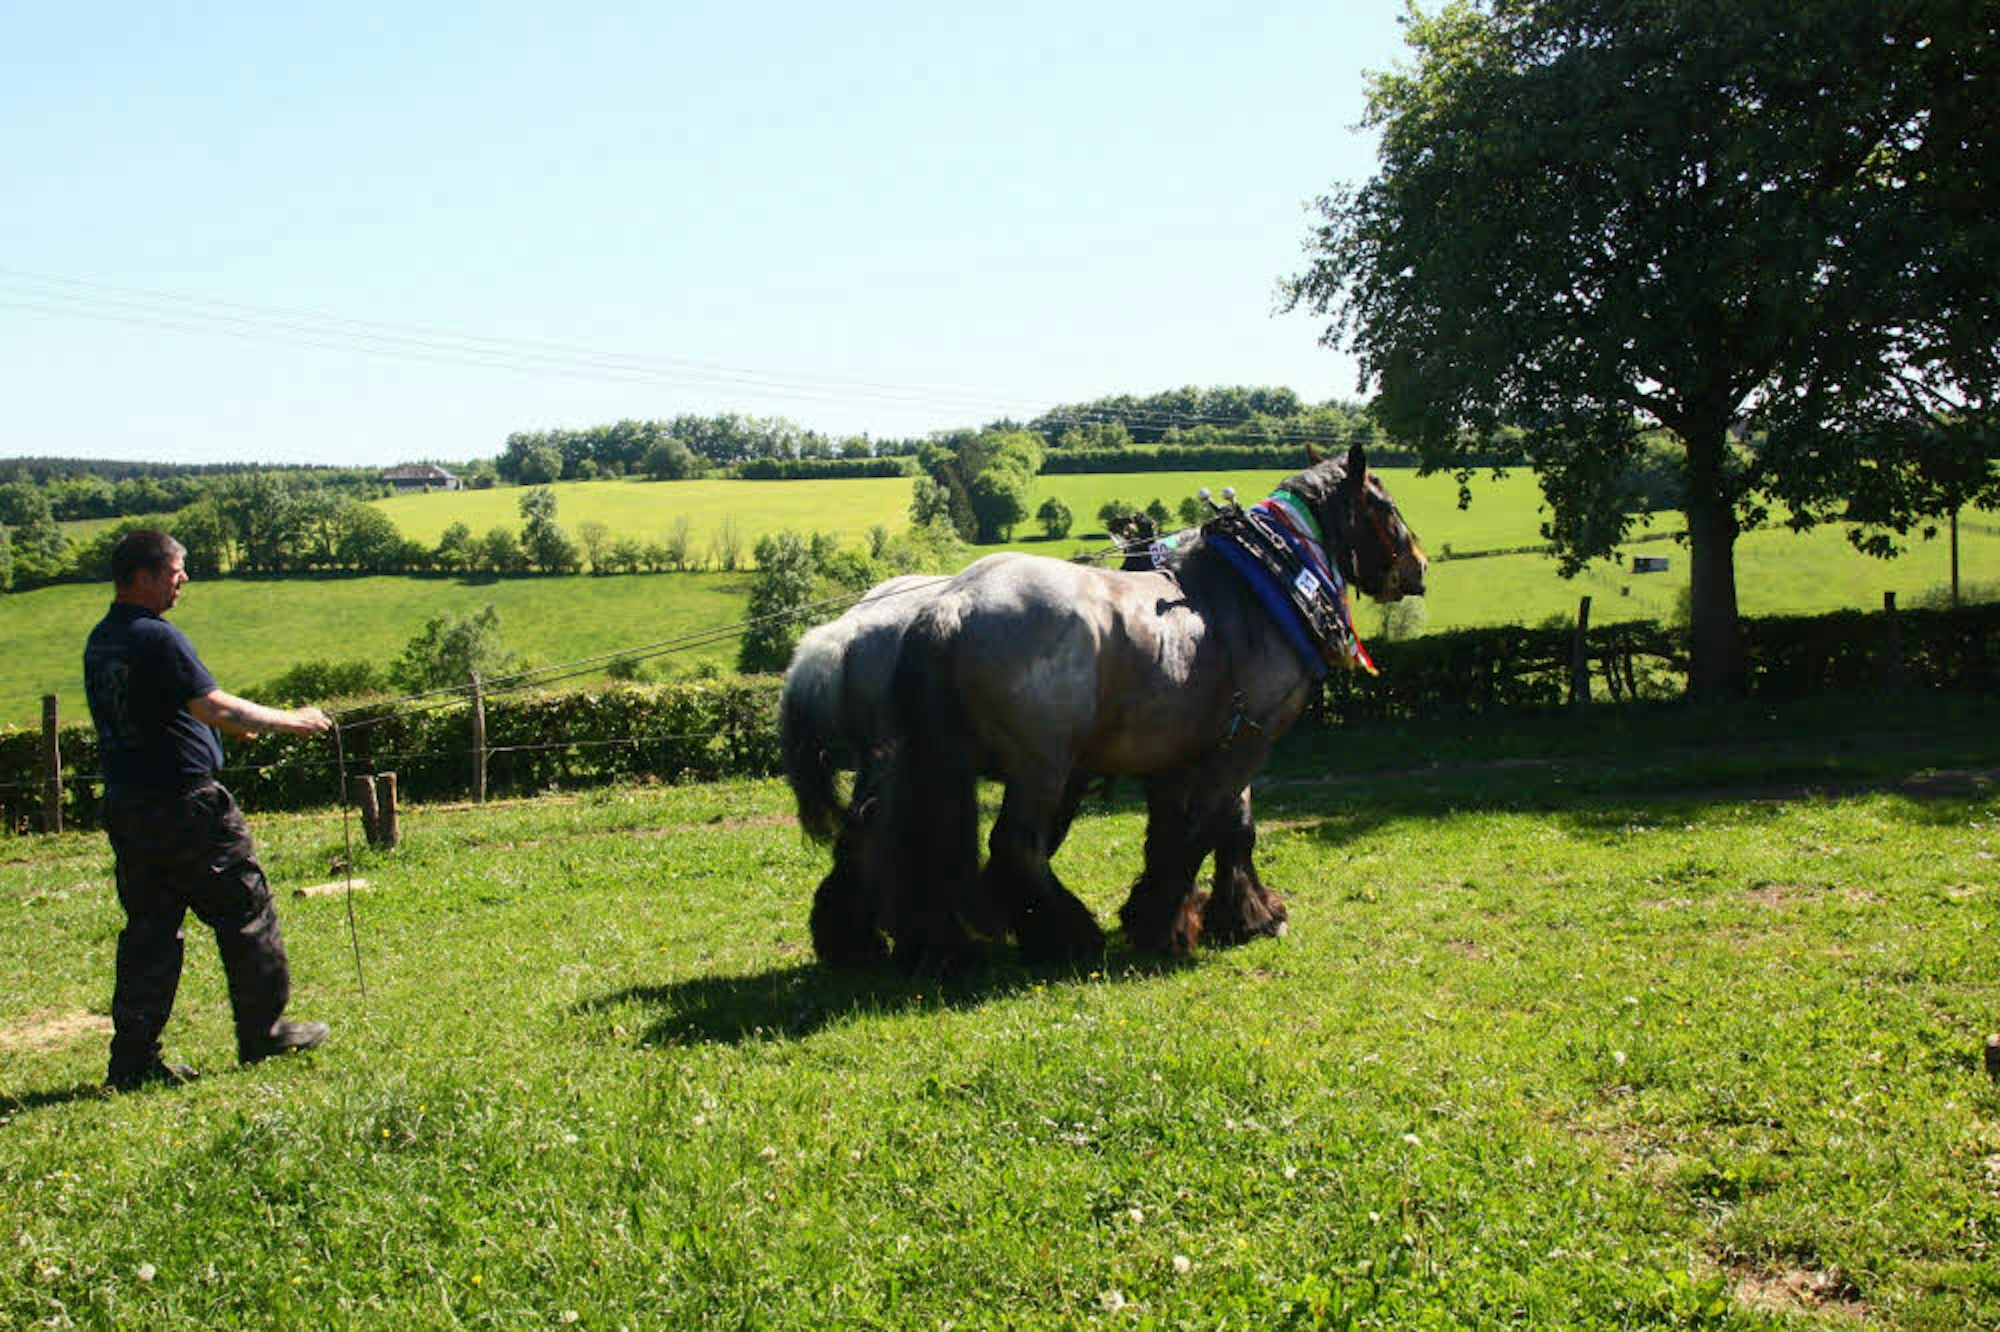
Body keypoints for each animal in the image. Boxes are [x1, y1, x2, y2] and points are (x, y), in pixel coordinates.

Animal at [876, 443, 1425, 970]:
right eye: (1384, 503)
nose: (1417, 564)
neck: (1264, 582)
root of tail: (953, 605)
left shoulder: (1192, 748)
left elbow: (1216, 826)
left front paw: (1236, 913)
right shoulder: (1252, 736)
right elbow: (1204, 827)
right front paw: (1165, 921)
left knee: (933, 843)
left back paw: (941, 942)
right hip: (1041, 768)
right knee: (1018, 844)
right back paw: (1068, 935)